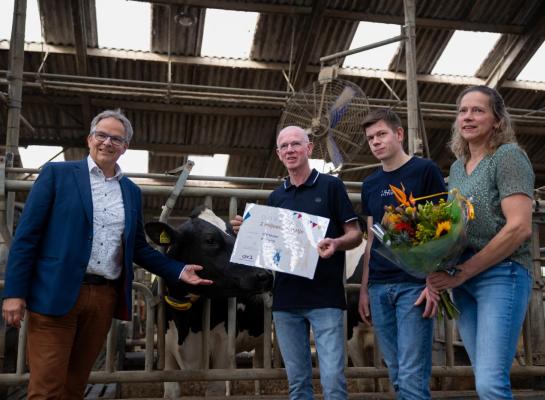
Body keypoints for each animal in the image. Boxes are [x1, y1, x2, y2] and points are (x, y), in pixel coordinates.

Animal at [146, 206, 274, 396]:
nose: (265, 275)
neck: (188, 322)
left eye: (236, 235)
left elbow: (215, 388)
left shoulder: (222, 347)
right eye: (210, 240)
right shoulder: (166, 351)